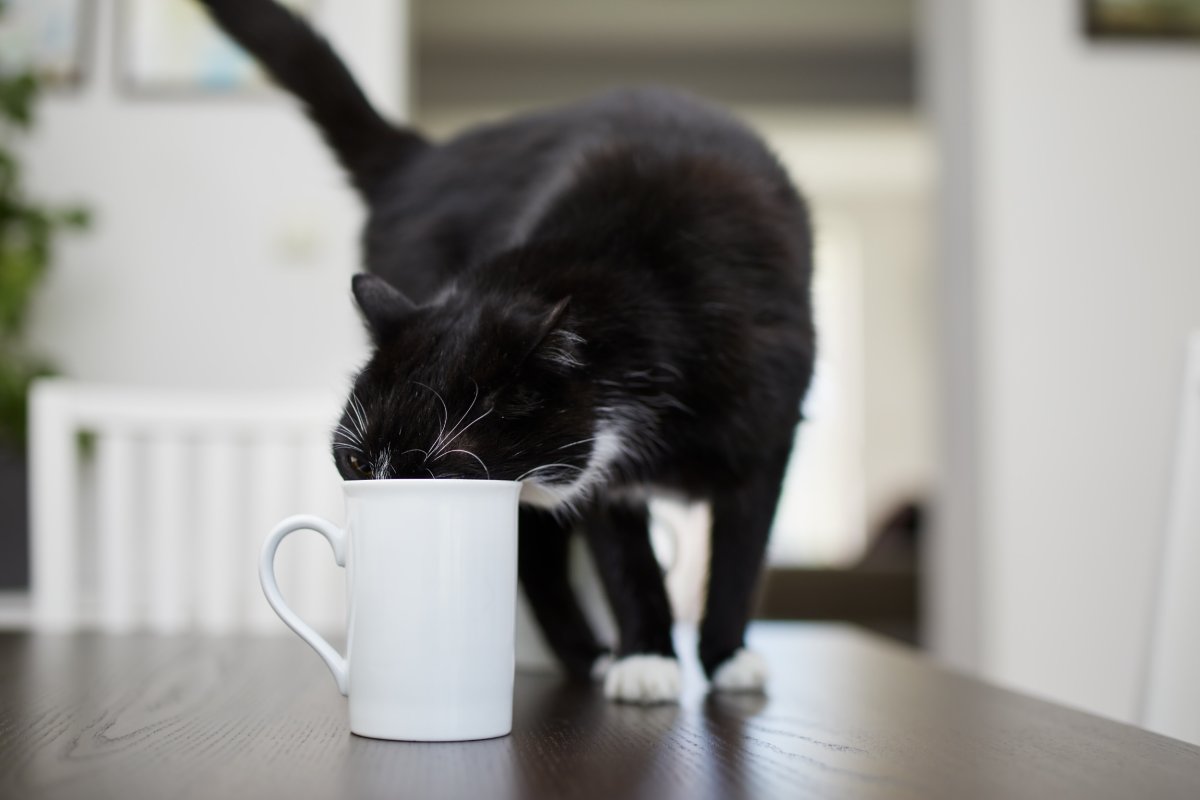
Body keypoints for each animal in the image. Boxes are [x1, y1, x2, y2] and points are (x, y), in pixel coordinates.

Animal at [199, 0, 816, 700]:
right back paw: (586, 654)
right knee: (541, 558)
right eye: (354, 461)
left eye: (447, 471)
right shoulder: (604, 470)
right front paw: (646, 657)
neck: (647, 277)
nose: (386, 496)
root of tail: (424, 159)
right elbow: (624, 559)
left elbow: (743, 550)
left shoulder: (768, 432)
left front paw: (726, 655)